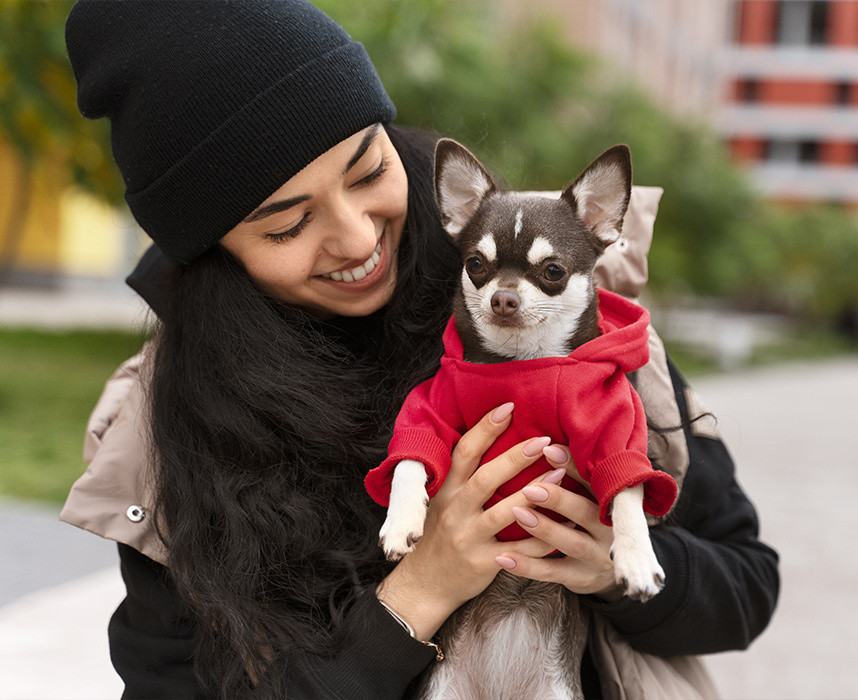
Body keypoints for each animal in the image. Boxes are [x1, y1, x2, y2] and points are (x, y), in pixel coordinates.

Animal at [362, 139, 676, 696]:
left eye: (552, 271)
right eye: (475, 264)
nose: (502, 297)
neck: (522, 362)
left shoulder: (612, 429)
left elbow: (626, 491)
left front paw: (637, 559)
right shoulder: (431, 407)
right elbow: (411, 457)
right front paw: (401, 521)